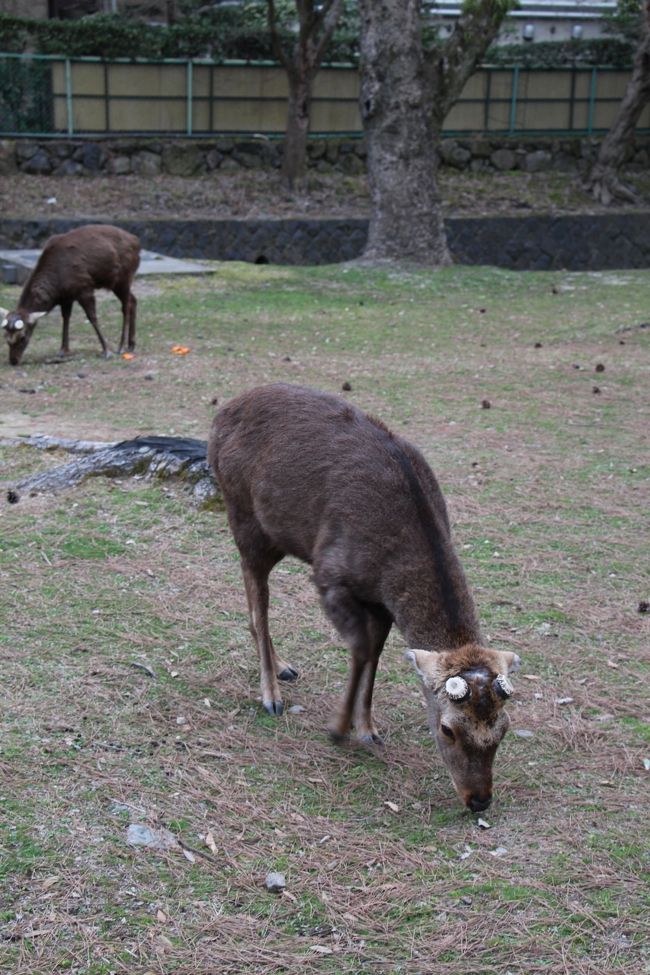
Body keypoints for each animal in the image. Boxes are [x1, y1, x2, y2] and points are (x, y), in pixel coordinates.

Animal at [1, 224, 140, 366]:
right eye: (5, 336)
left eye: (22, 337)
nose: (13, 360)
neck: (56, 285)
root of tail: (136, 242)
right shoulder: (66, 297)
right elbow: (66, 318)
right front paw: (63, 350)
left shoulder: (84, 287)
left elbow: (92, 317)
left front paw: (106, 350)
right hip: (117, 283)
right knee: (133, 300)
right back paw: (131, 344)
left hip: (123, 277)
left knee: (126, 306)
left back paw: (121, 346)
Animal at [208, 383, 521, 812]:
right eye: (447, 729)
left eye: (503, 729)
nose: (479, 800)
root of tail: (222, 413)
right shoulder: (330, 575)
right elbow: (360, 648)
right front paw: (339, 729)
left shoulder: (382, 603)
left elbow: (375, 651)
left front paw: (367, 727)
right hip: (245, 518)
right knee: (258, 604)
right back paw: (271, 695)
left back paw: (284, 667)